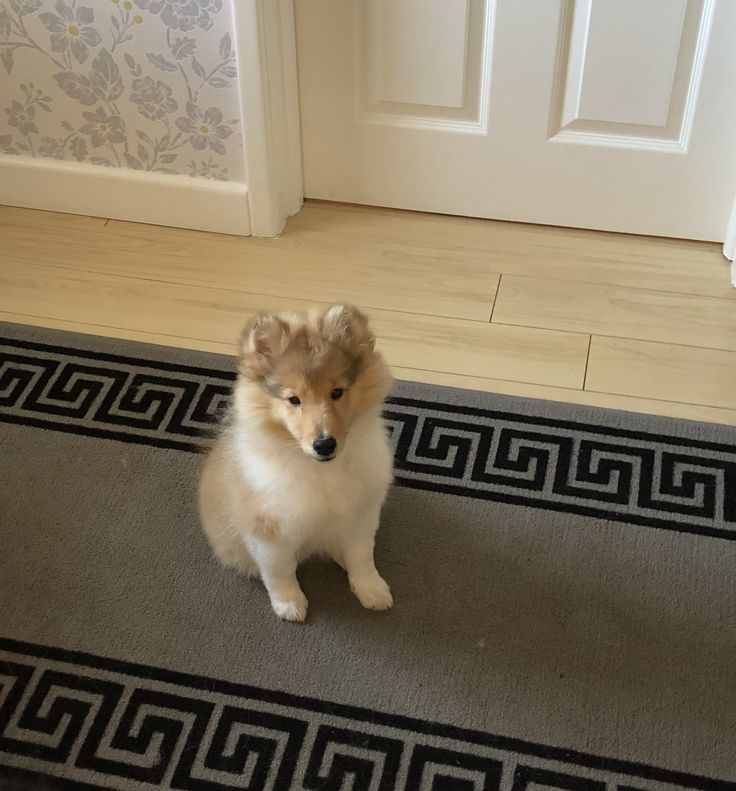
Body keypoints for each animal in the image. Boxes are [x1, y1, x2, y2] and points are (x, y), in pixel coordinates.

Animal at [198, 306, 394, 620]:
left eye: (337, 392)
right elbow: (280, 573)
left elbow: (362, 556)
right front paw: (290, 604)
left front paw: (372, 590)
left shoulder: (362, 514)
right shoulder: (268, 532)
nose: (324, 444)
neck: (320, 470)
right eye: (293, 399)